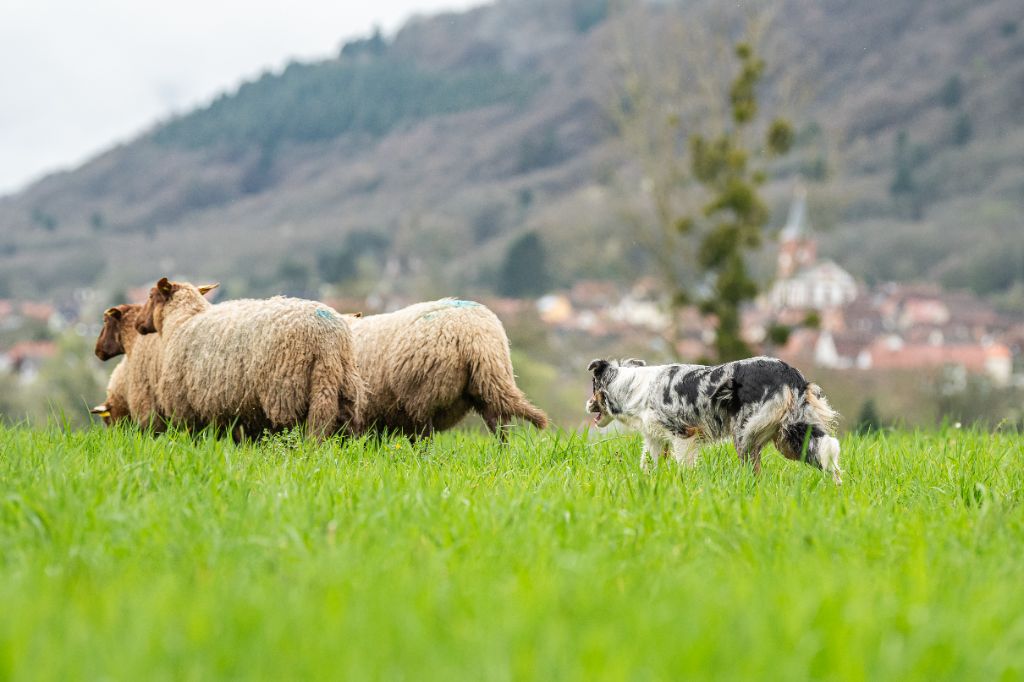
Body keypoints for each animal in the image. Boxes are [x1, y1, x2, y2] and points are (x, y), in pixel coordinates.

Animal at [137, 274, 364, 438]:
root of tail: (327, 336)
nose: (138, 324)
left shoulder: (186, 407)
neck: (182, 320)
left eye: (150, 296)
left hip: (286, 392)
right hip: (341, 385)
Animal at [589, 352, 843, 481]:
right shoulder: (655, 438)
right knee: (827, 459)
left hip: (745, 434)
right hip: (790, 438)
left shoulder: (684, 434)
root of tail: (792, 375)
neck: (632, 388)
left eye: (592, 387)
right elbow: (647, 464)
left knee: (753, 471)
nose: (587, 404)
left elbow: (684, 467)